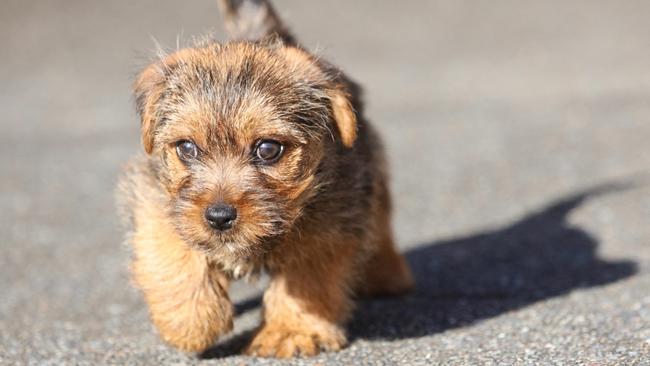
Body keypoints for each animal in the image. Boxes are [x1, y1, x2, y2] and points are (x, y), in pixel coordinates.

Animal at [119, 0, 412, 358]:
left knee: (380, 220)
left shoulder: (332, 219)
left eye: (268, 149)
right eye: (187, 147)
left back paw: (388, 274)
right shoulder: (155, 197)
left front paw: (292, 332)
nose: (219, 217)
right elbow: (172, 250)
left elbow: (306, 276)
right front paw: (190, 322)